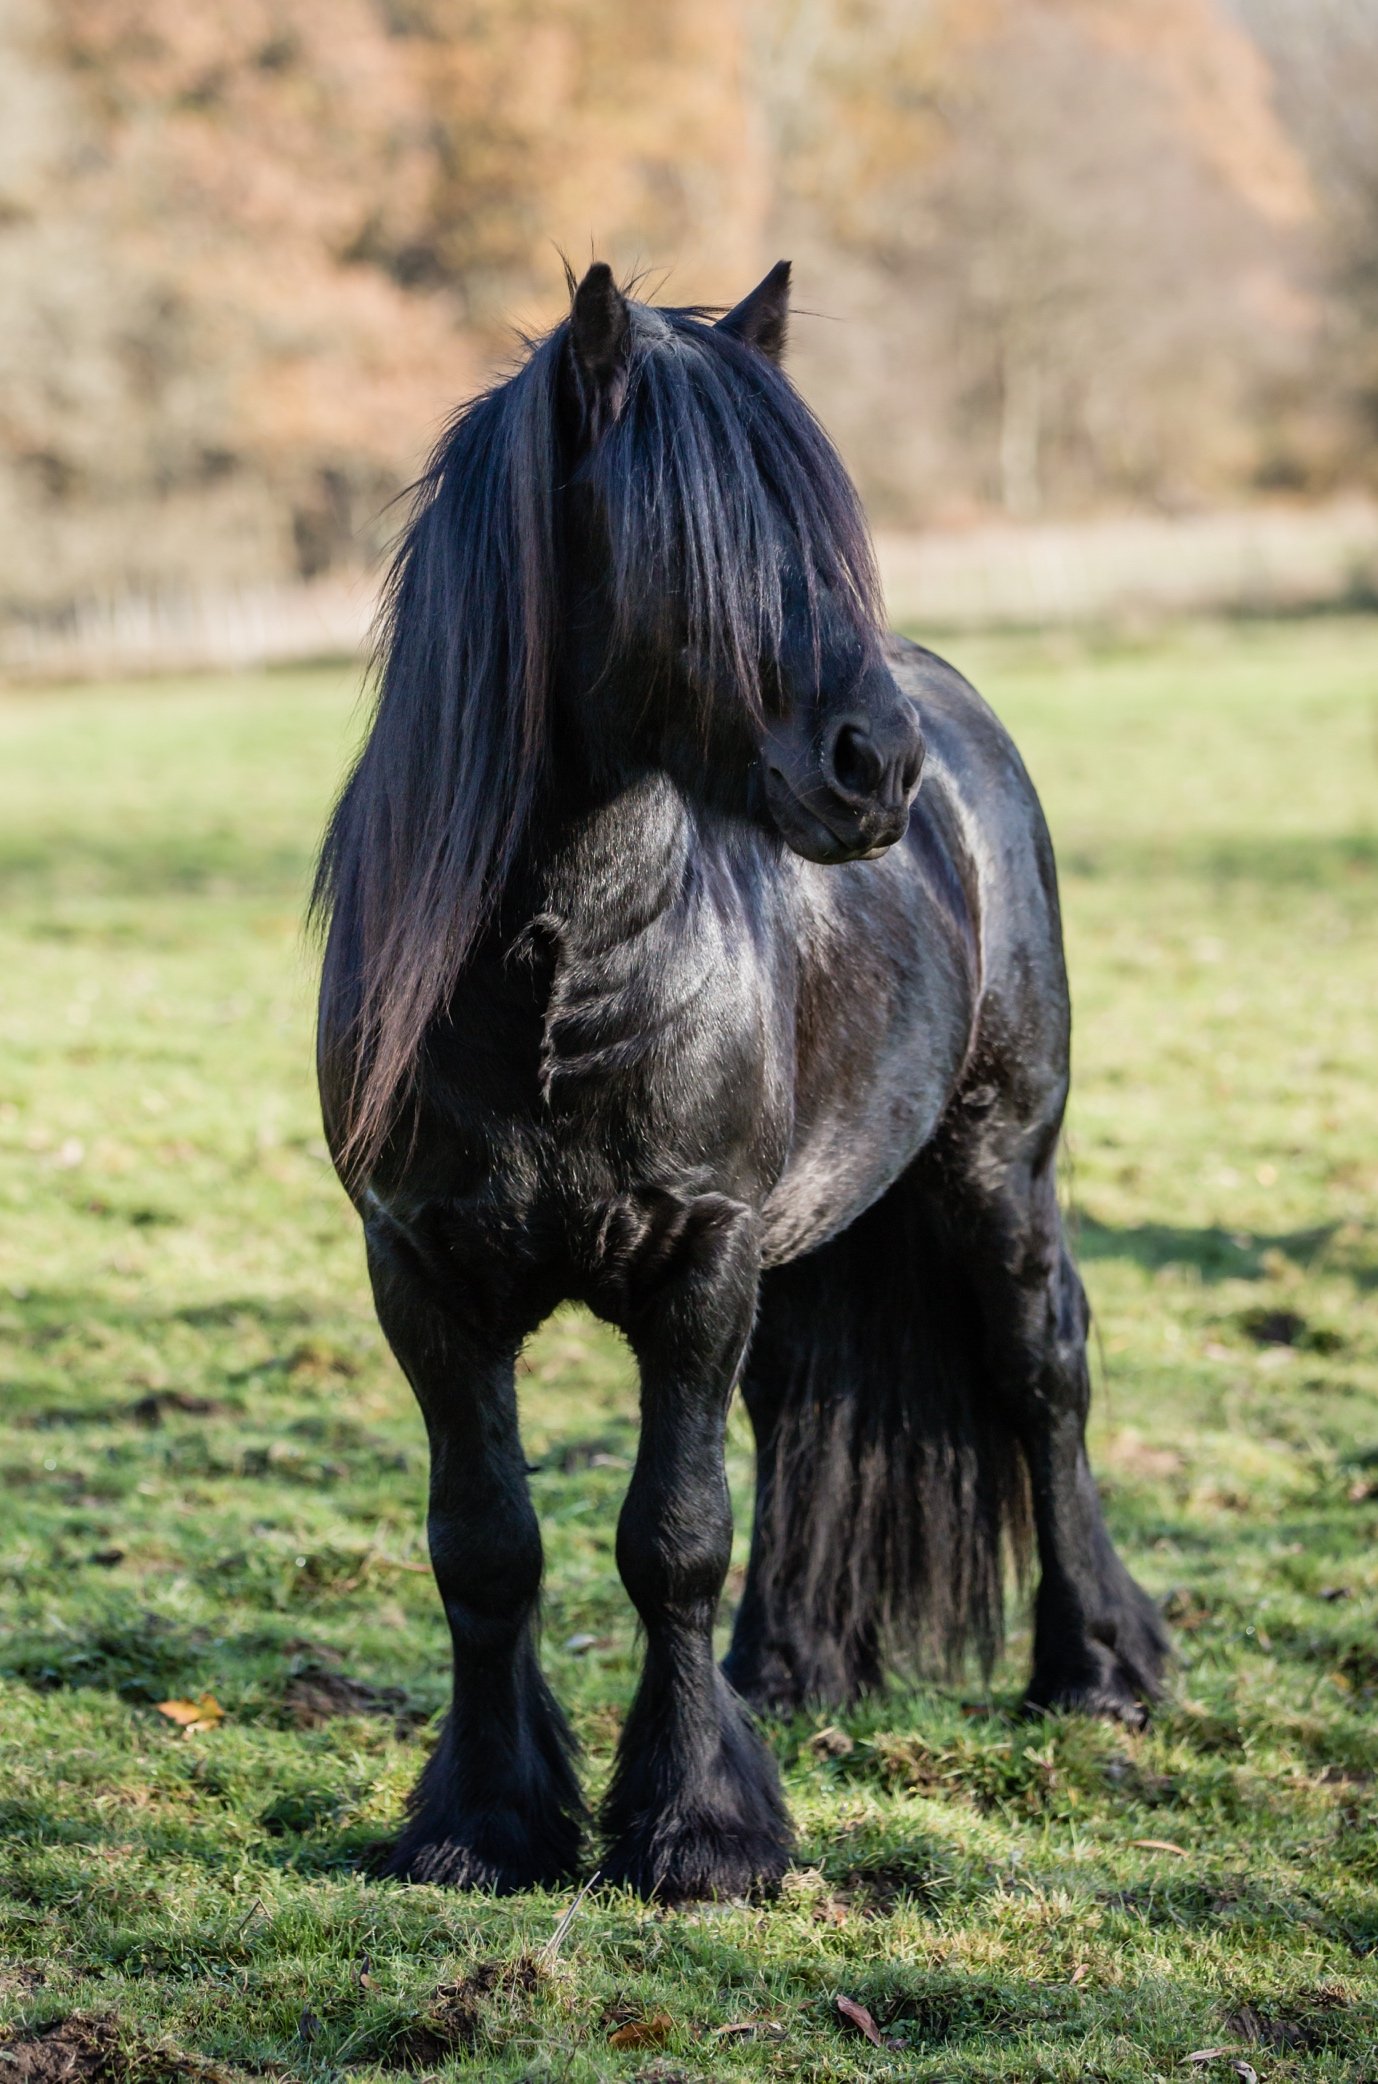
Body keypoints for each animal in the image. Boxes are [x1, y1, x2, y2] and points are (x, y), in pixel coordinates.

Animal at [311, 259, 1168, 1904]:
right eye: (691, 545)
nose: (873, 770)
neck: (559, 963)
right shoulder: (423, 1274)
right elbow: (486, 1544)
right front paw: (483, 1820)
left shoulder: (698, 1258)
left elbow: (673, 1536)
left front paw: (701, 1829)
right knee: (791, 1409)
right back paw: (785, 1665)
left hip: (997, 1168)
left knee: (1042, 1380)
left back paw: (1098, 1666)